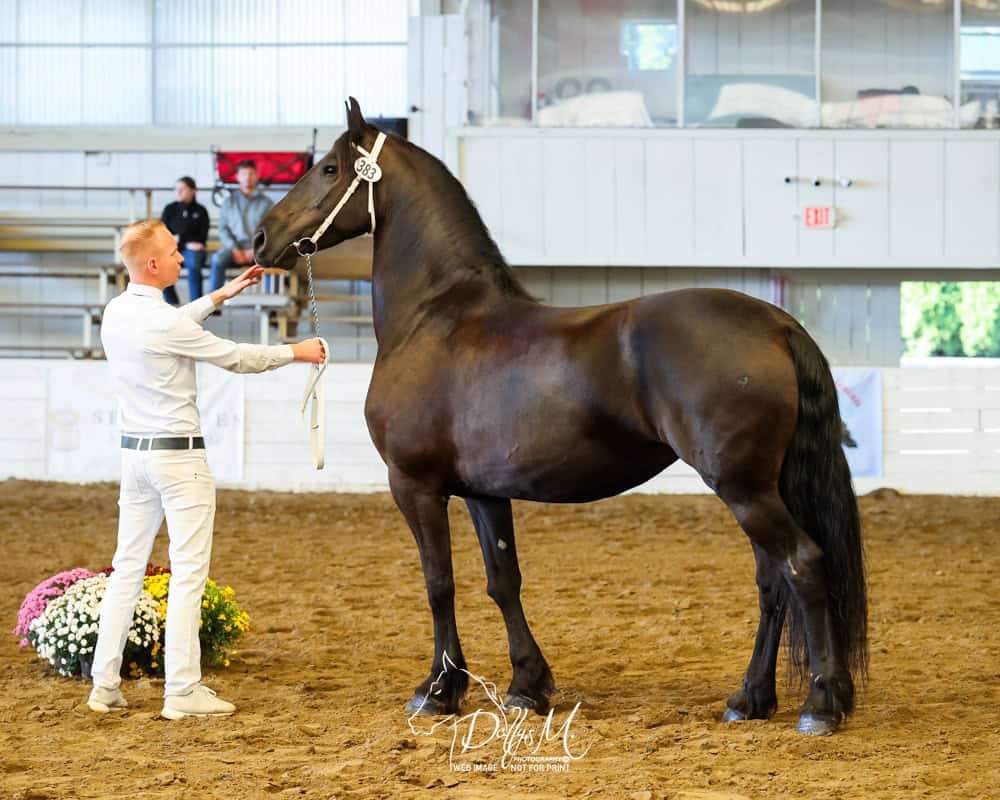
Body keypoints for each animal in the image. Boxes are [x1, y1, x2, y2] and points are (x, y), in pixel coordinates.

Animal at [254, 98, 868, 737]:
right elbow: (503, 581)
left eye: (328, 168)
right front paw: (527, 685)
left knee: (803, 566)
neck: (436, 317)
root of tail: (777, 322)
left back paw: (820, 704)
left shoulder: (416, 486)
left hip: (743, 488)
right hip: (759, 489)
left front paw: (438, 690)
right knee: (773, 583)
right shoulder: (484, 492)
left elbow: (439, 583)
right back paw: (750, 698)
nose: (262, 237)